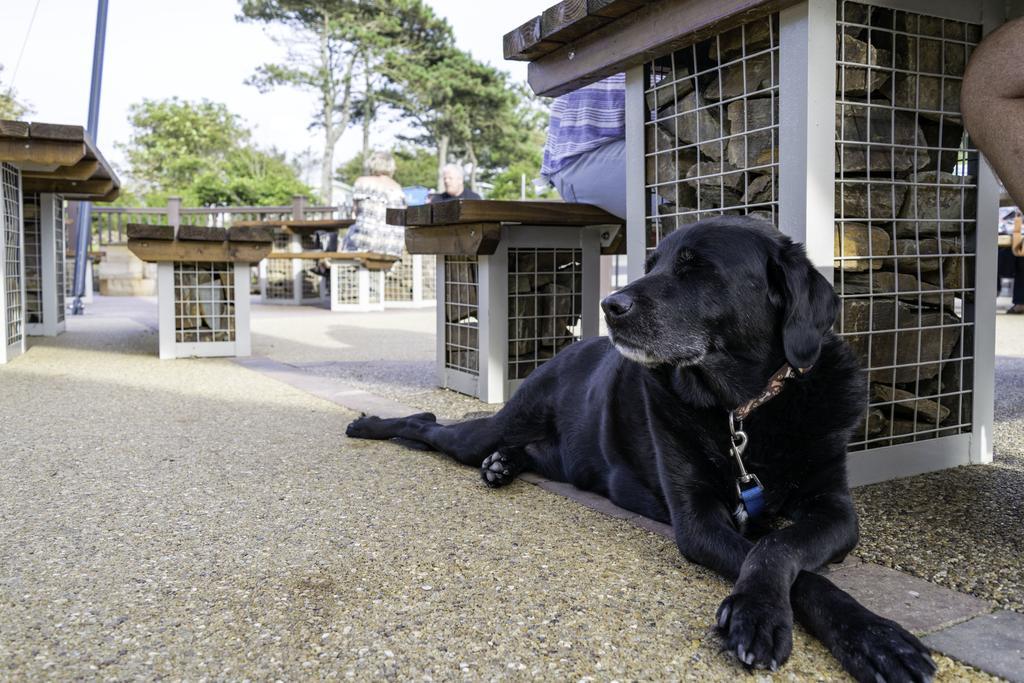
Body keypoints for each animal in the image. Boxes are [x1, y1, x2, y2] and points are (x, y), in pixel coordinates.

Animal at [348, 216, 937, 679]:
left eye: (697, 269)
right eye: (651, 263)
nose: (609, 304)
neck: (741, 409)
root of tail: (565, 351)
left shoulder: (835, 511)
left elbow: (779, 546)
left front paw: (870, 635)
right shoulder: (698, 521)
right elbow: (796, 570)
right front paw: (772, 616)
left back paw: (502, 466)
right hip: (491, 427)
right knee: (428, 425)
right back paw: (372, 425)